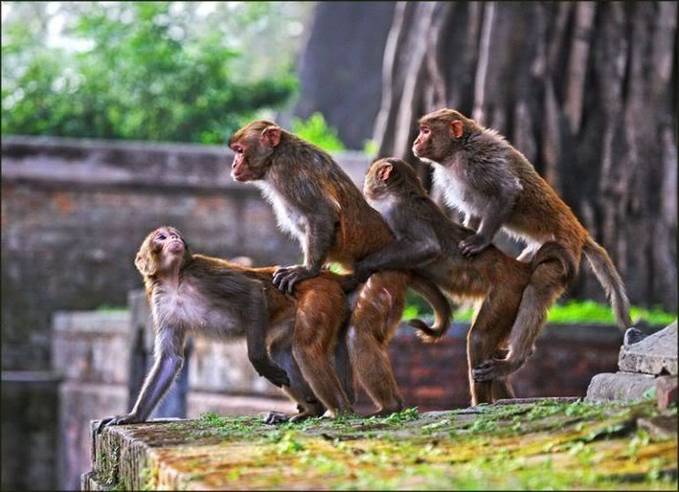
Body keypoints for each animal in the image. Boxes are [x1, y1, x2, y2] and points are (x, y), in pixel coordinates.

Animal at [101, 227, 358, 430]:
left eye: (174, 234)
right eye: (161, 237)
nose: (174, 237)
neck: (175, 279)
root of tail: (325, 276)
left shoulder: (204, 273)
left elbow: (253, 292)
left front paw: (259, 362)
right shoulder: (161, 303)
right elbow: (170, 359)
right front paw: (133, 416)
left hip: (320, 296)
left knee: (306, 348)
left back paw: (340, 411)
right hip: (293, 314)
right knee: (280, 350)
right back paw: (310, 411)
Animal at [231, 121, 454, 418]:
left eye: (240, 150)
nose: (234, 164)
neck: (276, 155)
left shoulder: (290, 174)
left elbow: (321, 214)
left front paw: (306, 270)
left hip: (387, 278)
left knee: (358, 332)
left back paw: (387, 406)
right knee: (338, 336)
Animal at [350, 158, 564, 404]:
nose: (365, 183)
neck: (403, 192)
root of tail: (519, 267)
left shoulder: (398, 212)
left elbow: (427, 247)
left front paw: (364, 265)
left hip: (507, 292)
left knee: (479, 338)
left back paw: (482, 401)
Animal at [414, 106, 632, 380]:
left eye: (426, 131)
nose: (415, 142)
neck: (457, 150)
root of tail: (580, 232)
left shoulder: (480, 163)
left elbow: (506, 192)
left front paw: (480, 241)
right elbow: (472, 213)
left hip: (564, 253)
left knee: (538, 286)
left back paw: (514, 360)